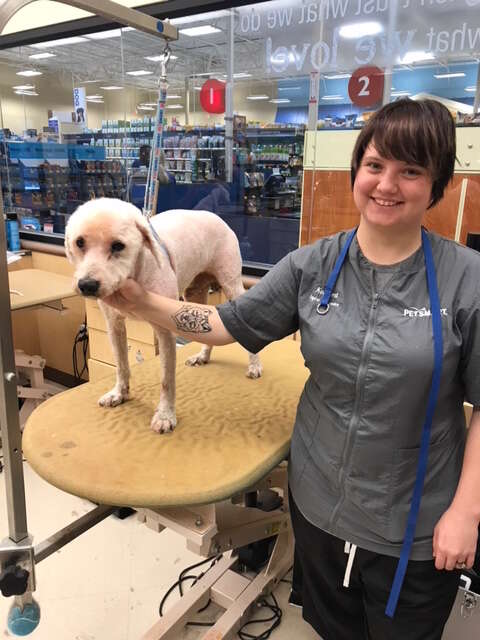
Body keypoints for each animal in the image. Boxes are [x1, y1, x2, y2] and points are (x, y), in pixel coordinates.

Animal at [64, 198, 262, 432]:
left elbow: (167, 380)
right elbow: (121, 365)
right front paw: (119, 393)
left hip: (231, 283)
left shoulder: (165, 331)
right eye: (79, 242)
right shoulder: (114, 325)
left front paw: (166, 415)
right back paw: (203, 356)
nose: (87, 285)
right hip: (194, 294)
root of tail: (216, 216)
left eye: (118, 245)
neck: (136, 271)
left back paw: (254, 365)